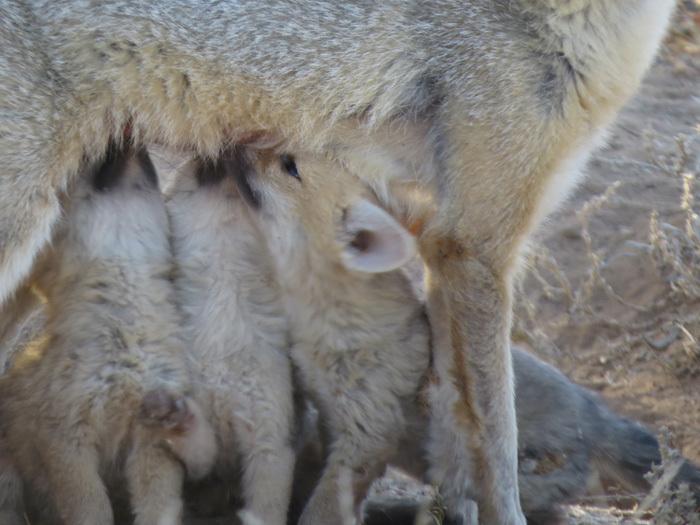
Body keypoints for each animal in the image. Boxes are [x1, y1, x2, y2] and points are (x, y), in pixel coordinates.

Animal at [166, 151, 296, 525]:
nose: (220, 153)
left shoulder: (271, 445)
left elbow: (265, 512)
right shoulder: (202, 467)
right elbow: (196, 442)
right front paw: (177, 418)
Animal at [228, 144, 699, 525]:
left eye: (289, 166)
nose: (233, 147)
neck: (324, 313)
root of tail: (594, 413)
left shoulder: (366, 438)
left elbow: (321, 510)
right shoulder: (329, 422)